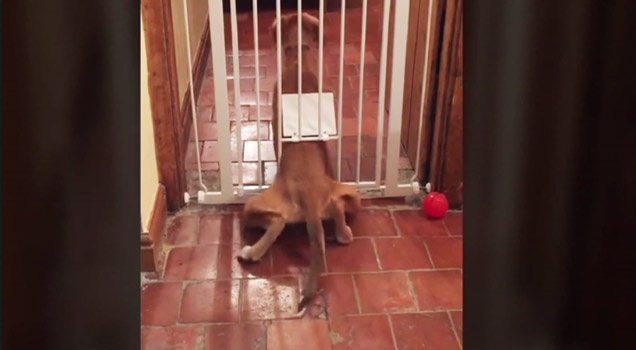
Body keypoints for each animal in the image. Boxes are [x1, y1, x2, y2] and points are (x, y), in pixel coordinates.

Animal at [237, 13, 360, 312]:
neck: (299, 63)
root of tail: (309, 197)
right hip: (352, 194)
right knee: (339, 216)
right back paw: (342, 227)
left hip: (252, 206)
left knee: (278, 223)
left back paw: (250, 252)